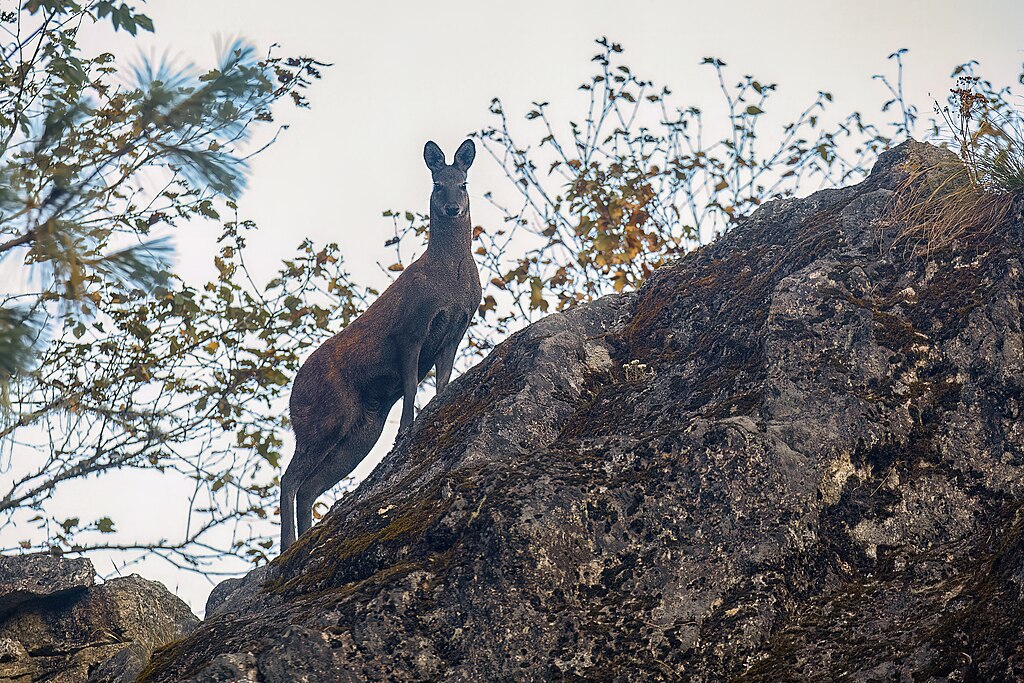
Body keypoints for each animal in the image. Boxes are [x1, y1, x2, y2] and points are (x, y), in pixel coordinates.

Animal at [279, 139, 481, 550]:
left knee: (308, 488)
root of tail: (291, 395)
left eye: (464, 183)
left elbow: (442, 382)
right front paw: (406, 431)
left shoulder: (456, 329)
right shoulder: (410, 328)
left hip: (361, 431)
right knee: (289, 480)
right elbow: (411, 386)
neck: (451, 278)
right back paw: (287, 545)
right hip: (323, 415)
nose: (453, 208)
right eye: (438, 184)